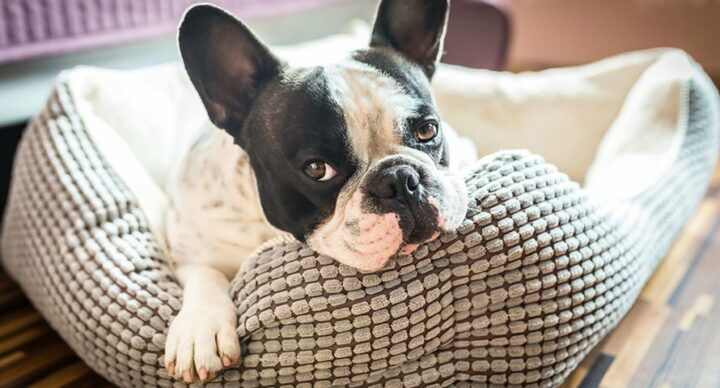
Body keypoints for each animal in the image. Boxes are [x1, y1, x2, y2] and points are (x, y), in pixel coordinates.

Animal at [167, 0, 476, 382]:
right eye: (317, 169)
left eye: (427, 130)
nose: (400, 179)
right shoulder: (186, 244)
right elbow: (204, 272)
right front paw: (200, 328)